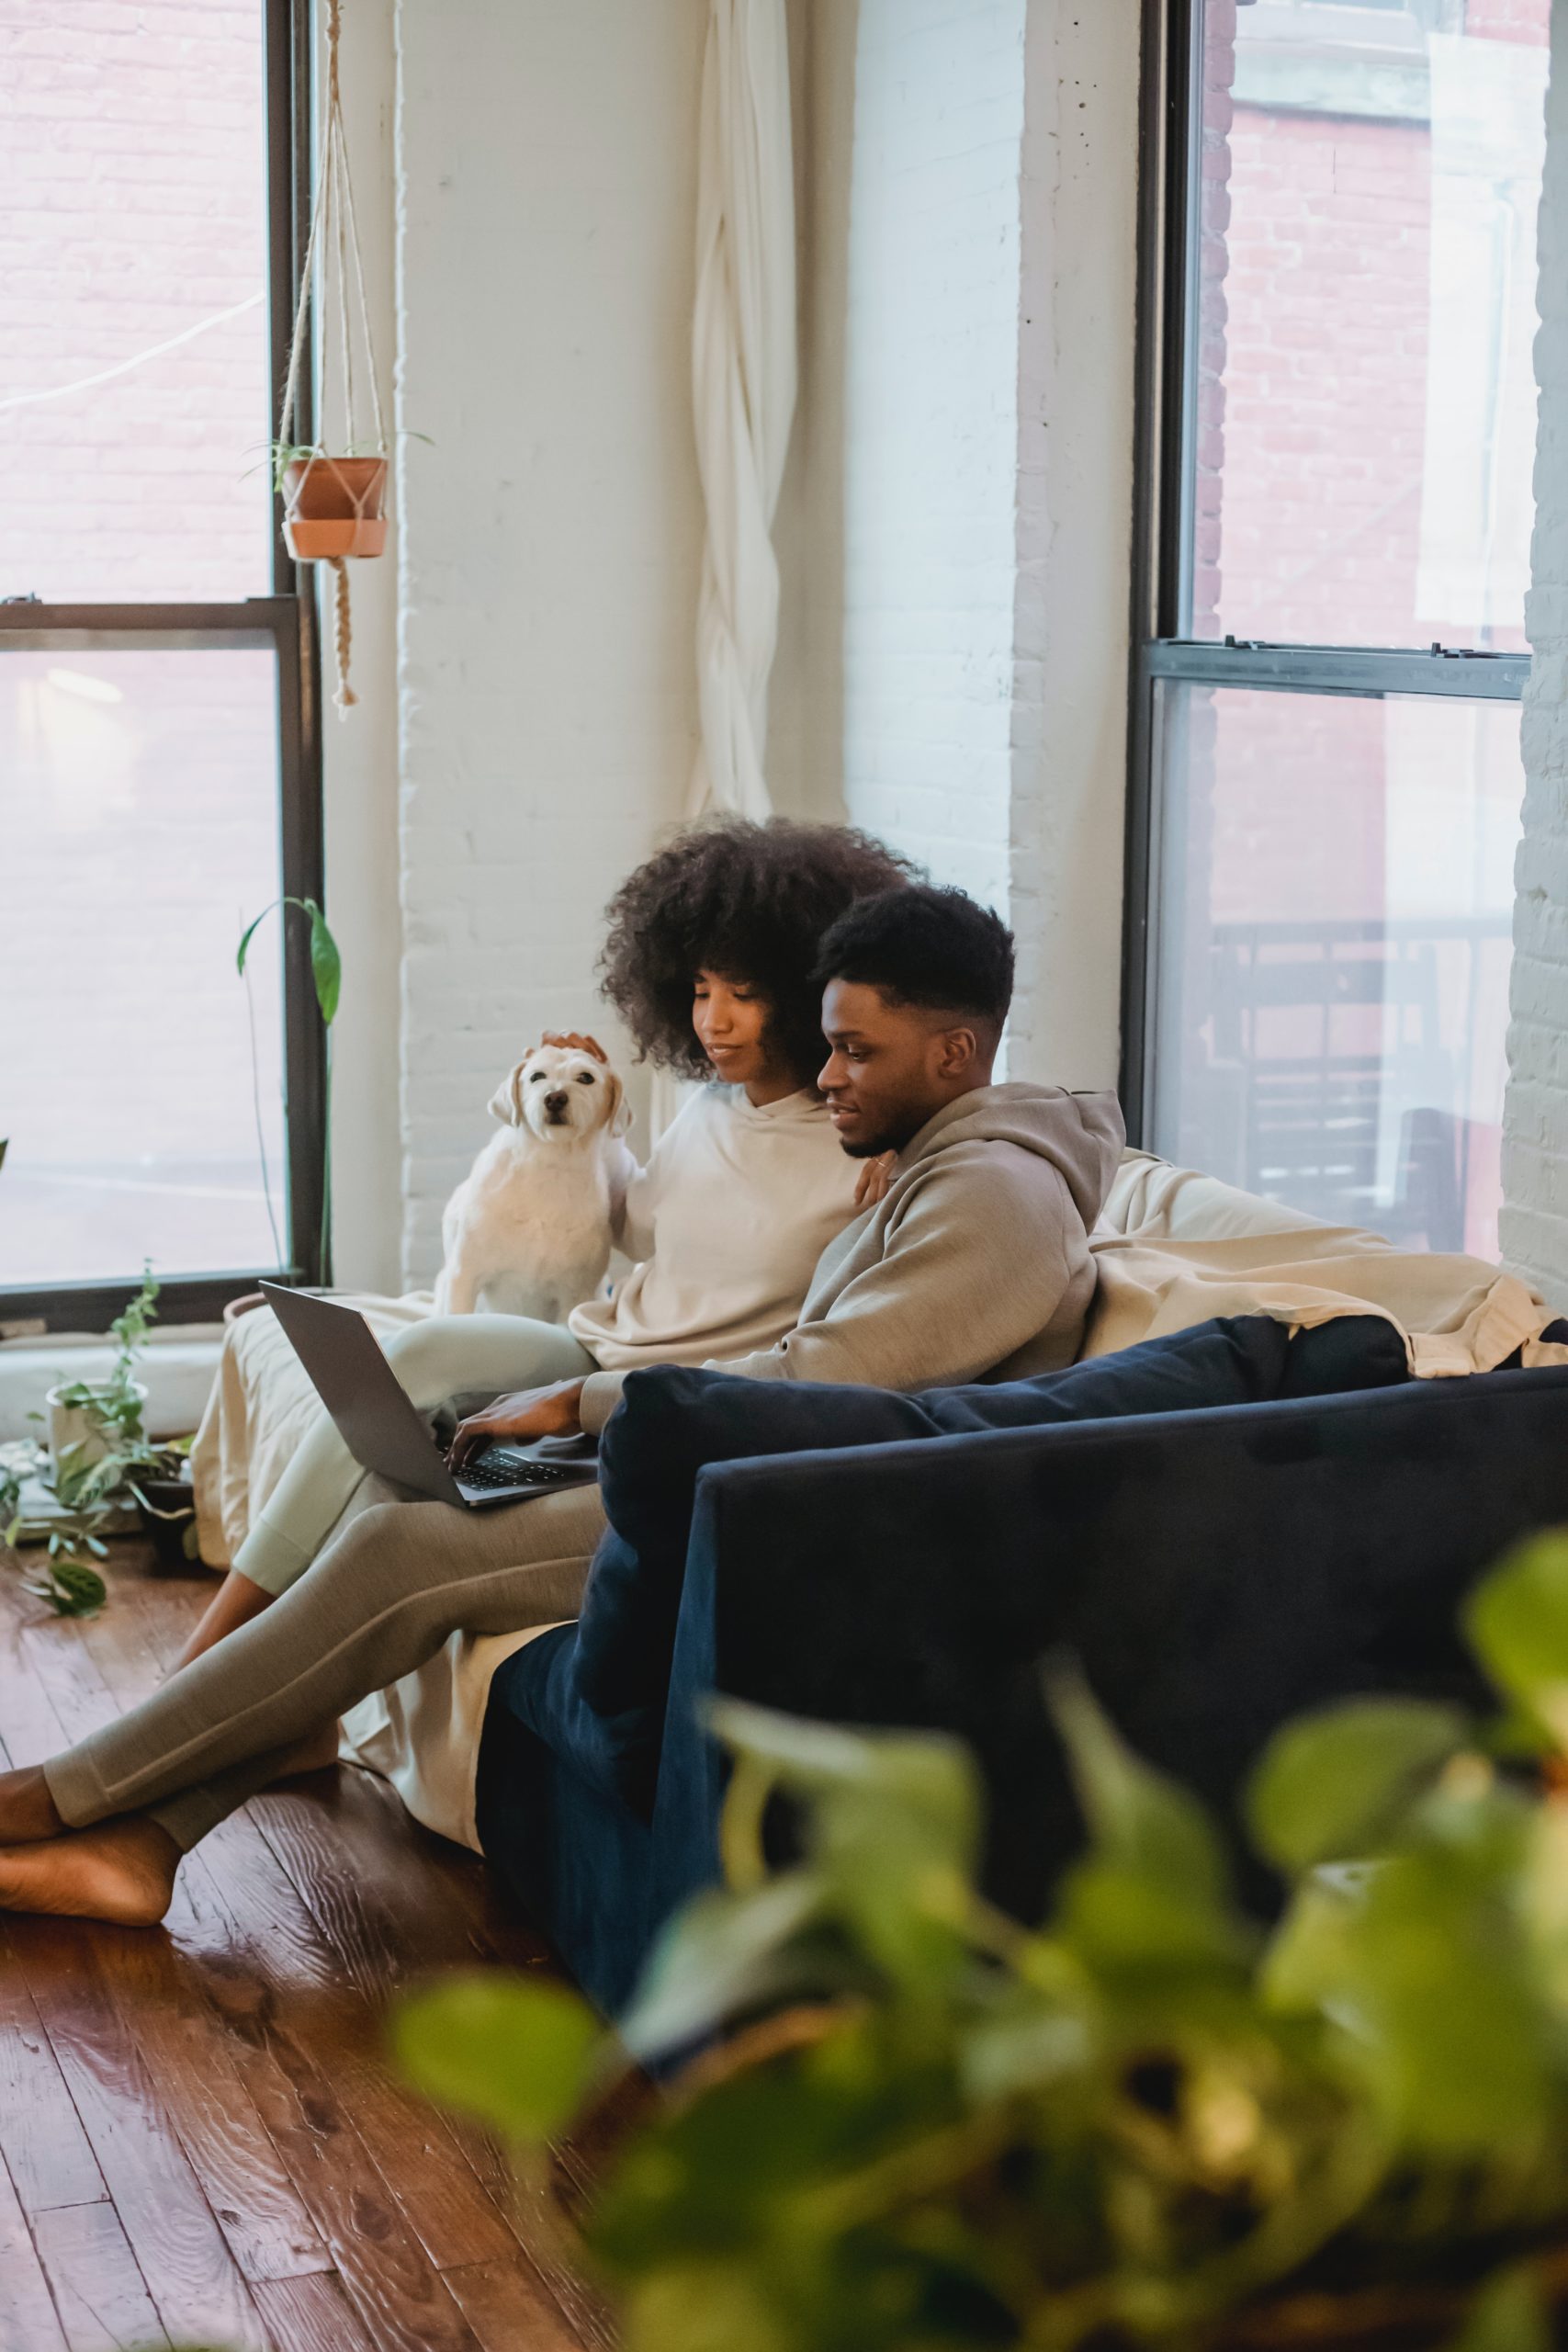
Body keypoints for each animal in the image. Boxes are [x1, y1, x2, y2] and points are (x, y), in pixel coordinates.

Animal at [432, 1048, 634, 1326]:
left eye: (586, 1077)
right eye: (537, 1076)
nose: (555, 1098)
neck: (549, 1164)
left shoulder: (575, 1294)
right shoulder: (464, 1276)